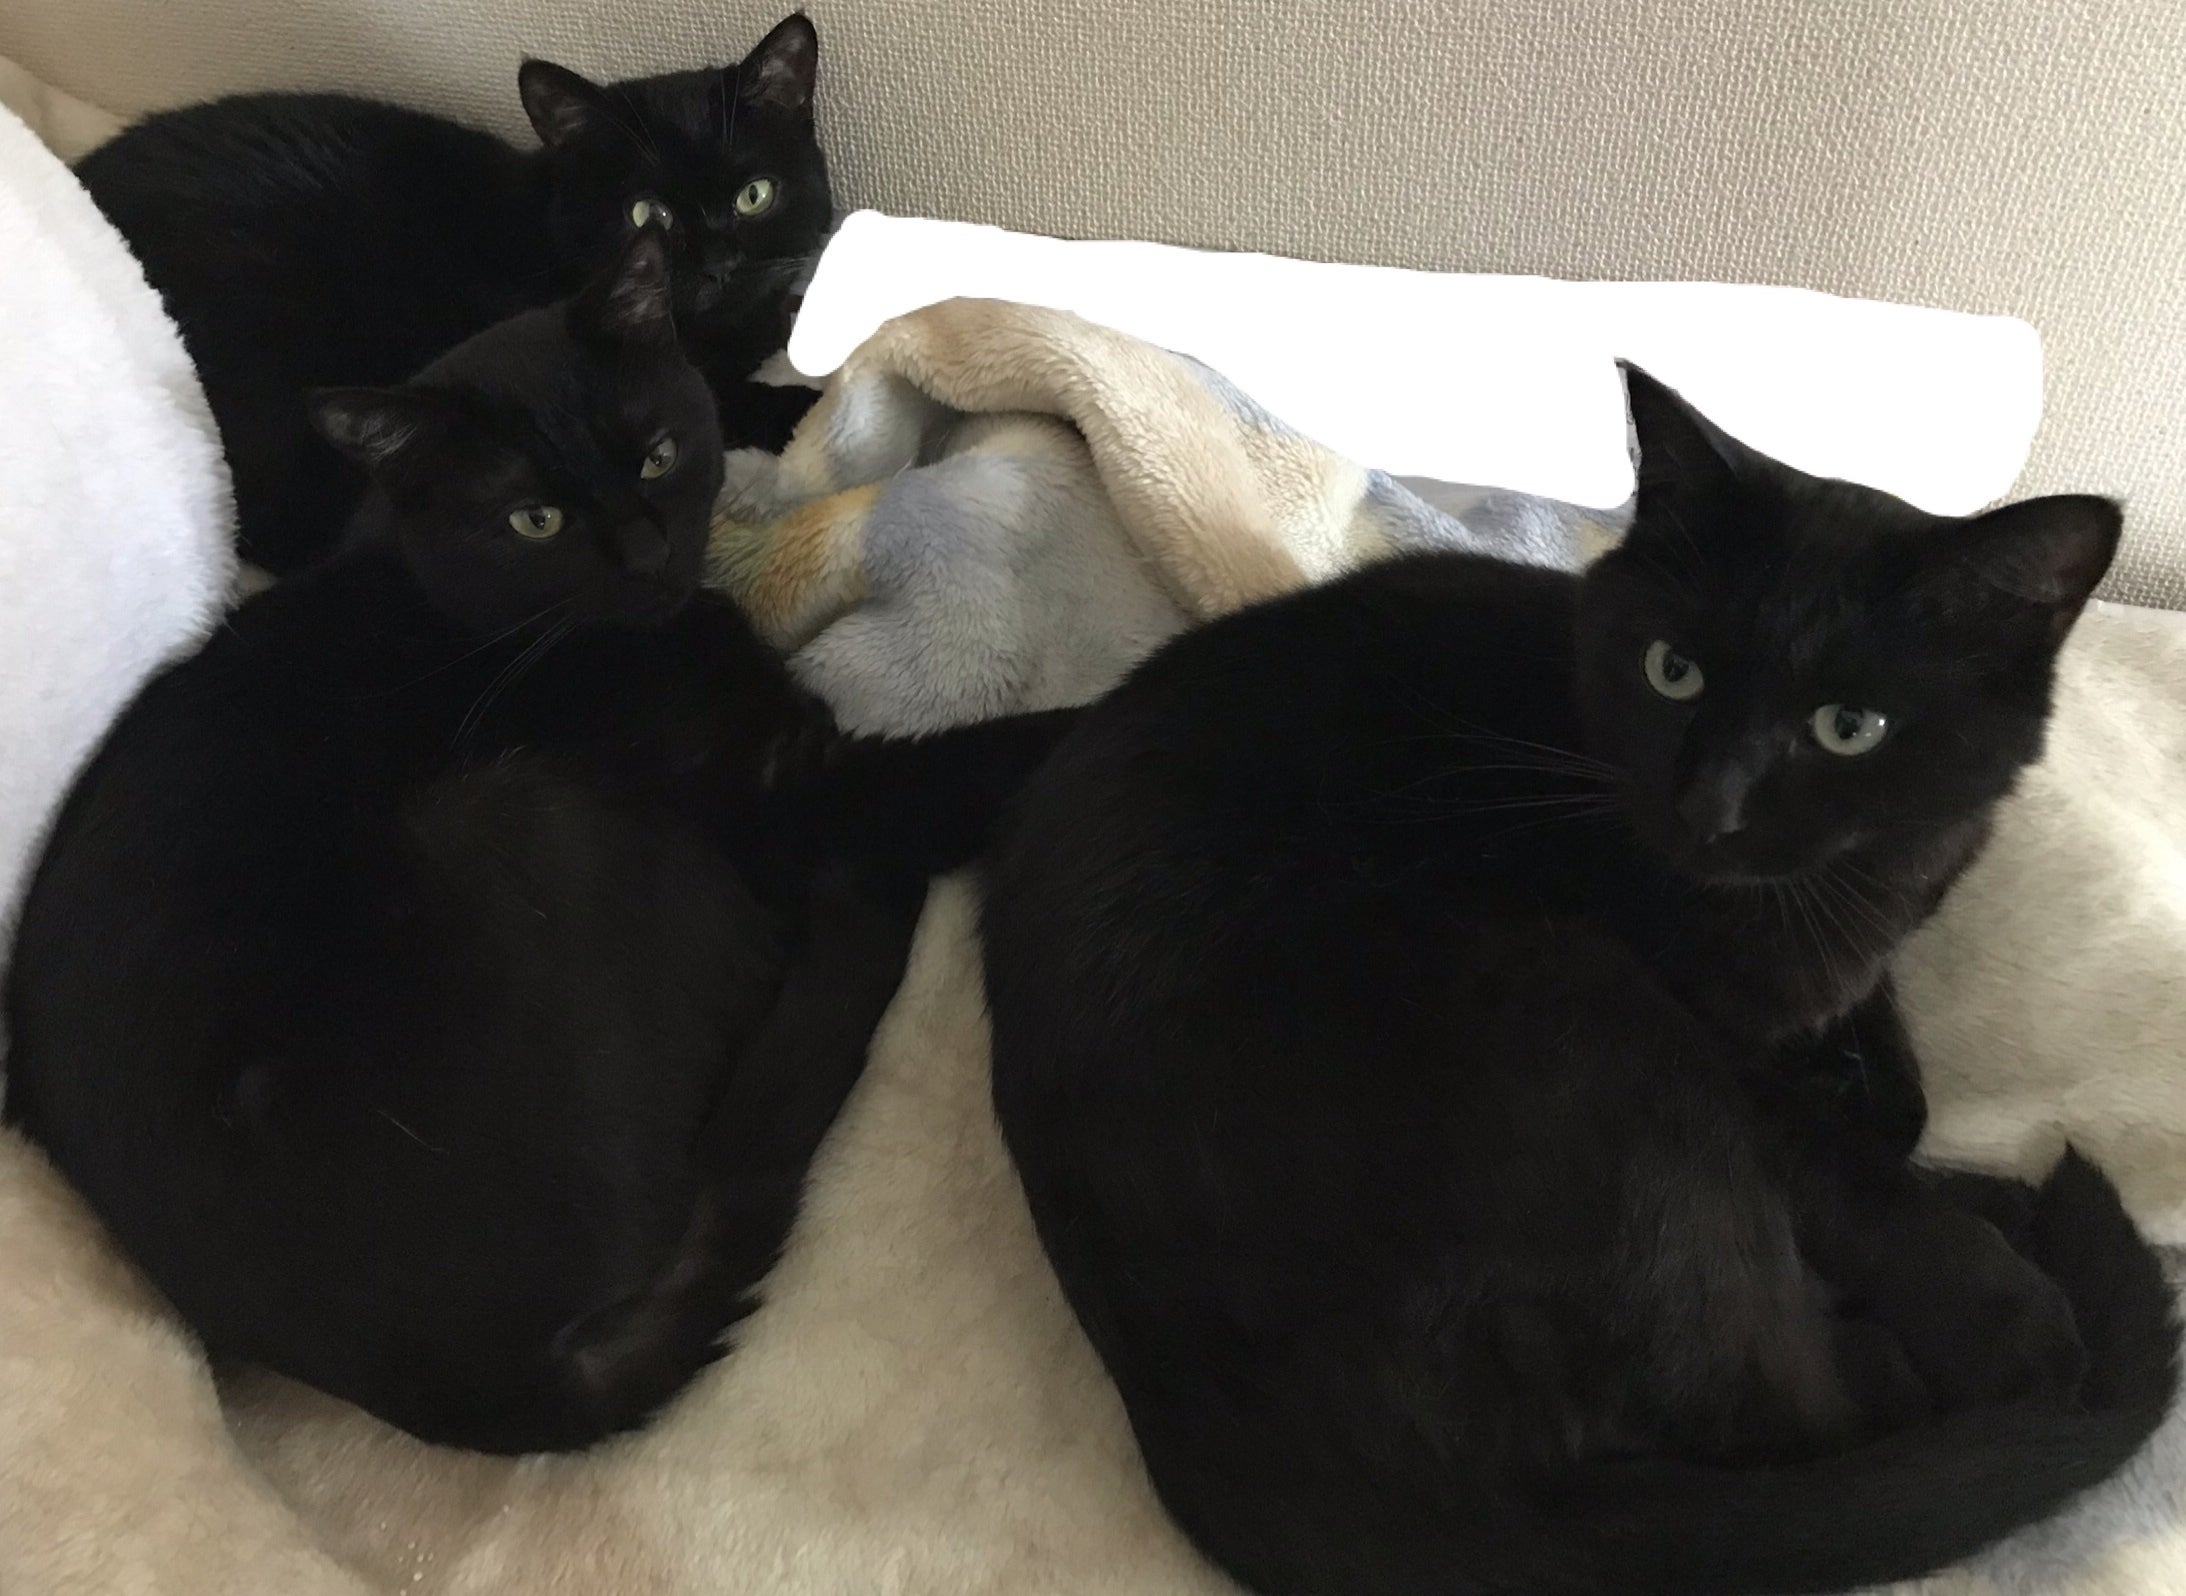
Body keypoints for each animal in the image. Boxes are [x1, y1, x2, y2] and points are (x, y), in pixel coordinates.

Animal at [2, 231, 1070, 1456]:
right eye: (534, 522)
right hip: (523, 814)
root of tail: (487, 1393)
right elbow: (967, 763)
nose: (649, 548)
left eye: (657, 454)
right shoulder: (791, 801)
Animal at [979, 364, 2178, 1596]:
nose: (1711, 807)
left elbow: (1893, 1081)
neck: (1826, 897)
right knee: (1789, 1410)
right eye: (1672, 670)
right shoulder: (1713, 1043)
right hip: (1582, 1009)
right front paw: (2004, 1312)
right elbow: (1849, 1171)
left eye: (1850, 728)